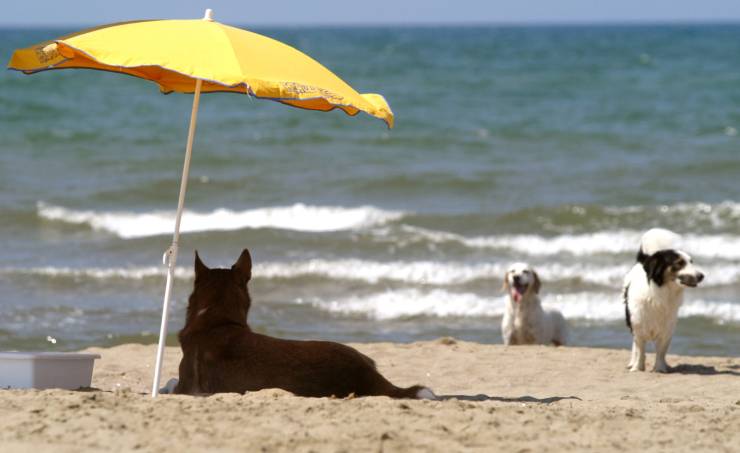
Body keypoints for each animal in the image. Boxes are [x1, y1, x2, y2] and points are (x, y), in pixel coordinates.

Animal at [624, 228, 704, 372]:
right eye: (679, 263)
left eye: (691, 262)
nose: (701, 276)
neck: (661, 293)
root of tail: (644, 259)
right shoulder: (638, 326)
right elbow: (640, 350)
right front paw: (638, 368)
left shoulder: (667, 330)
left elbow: (661, 352)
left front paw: (660, 369)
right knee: (635, 346)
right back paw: (632, 363)